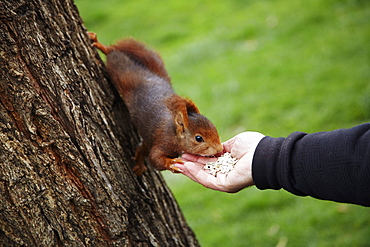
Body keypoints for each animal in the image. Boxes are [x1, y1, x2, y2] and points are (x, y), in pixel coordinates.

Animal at [89, 31, 223, 176]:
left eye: (214, 128)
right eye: (198, 138)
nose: (219, 149)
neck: (173, 133)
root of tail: (150, 75)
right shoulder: (162, 141)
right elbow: (155, 158)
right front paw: (171, 163)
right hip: (120, 71)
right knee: (113, 53)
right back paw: (100, 45)